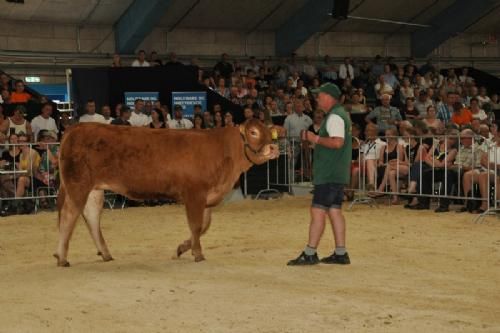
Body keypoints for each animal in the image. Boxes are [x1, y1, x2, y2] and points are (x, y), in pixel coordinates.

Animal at [56, 118, 280, 266]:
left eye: (270, 134)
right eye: (253, 132)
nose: (274, 148)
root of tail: (75, 128)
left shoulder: (207, 198)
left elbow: (204, 226)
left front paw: (181, 248)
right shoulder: (194, 193)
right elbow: (196, 225)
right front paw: (198, 254)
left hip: (94, 189)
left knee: (91, 217)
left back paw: (105, 254)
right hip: (78, 184)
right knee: (69, 216)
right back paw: (62, 258)